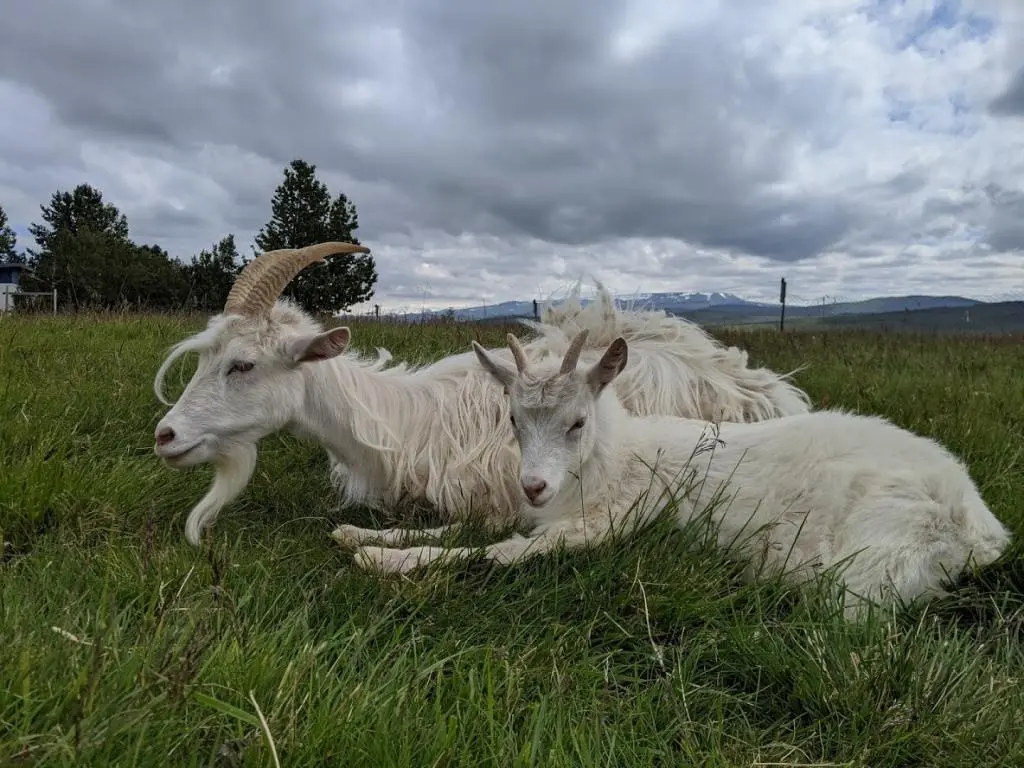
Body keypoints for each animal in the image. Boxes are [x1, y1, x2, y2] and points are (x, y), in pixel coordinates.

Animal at [354, 331, 1015, 618]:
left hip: (871, 557)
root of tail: (982, 527)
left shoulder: (604, 526)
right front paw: (362, 535)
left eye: (576, 421)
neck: (614, 457)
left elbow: (496, 552)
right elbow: (475, 530)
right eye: (512, 419)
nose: (533, 485)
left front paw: (379, 560)